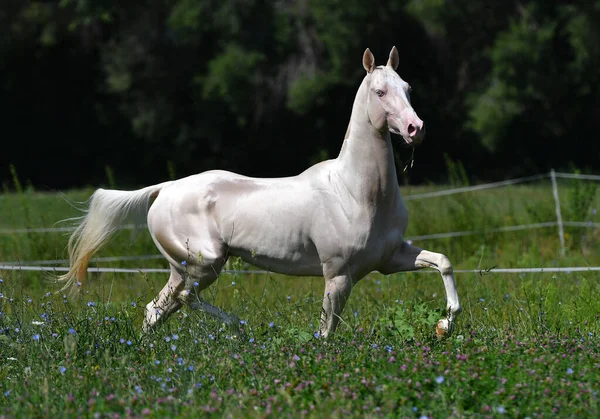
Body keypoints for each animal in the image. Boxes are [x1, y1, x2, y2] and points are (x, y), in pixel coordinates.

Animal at [58, 47, 462, 340]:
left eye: (408, 88)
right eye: (380, 91)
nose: (415, 128)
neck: (356, 193)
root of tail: (164, 189)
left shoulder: (390, 258)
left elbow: (443, 261)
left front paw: (444, 327)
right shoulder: (338, 275)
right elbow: (327, 332)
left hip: (183, 269)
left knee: (157, 309)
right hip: (205, 263)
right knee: (185, 299)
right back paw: (240, 329)